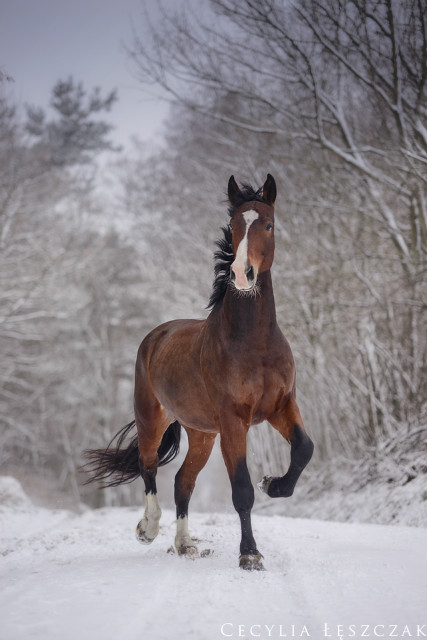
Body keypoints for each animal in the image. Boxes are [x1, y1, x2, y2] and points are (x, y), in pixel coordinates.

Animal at [85, 174, 314, 568]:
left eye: (268, 224)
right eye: (234, 225)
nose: (241, 274)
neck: (254, 343)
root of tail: (156, 336)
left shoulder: (282, 405)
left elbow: (304, 448)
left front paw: (273, 484)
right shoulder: (234, 420)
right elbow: (241, 489)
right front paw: (250, 554)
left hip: (202, 434)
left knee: (183, 481)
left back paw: (185, 544)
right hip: (152, 418)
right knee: (149, 467)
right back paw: (148, 529)